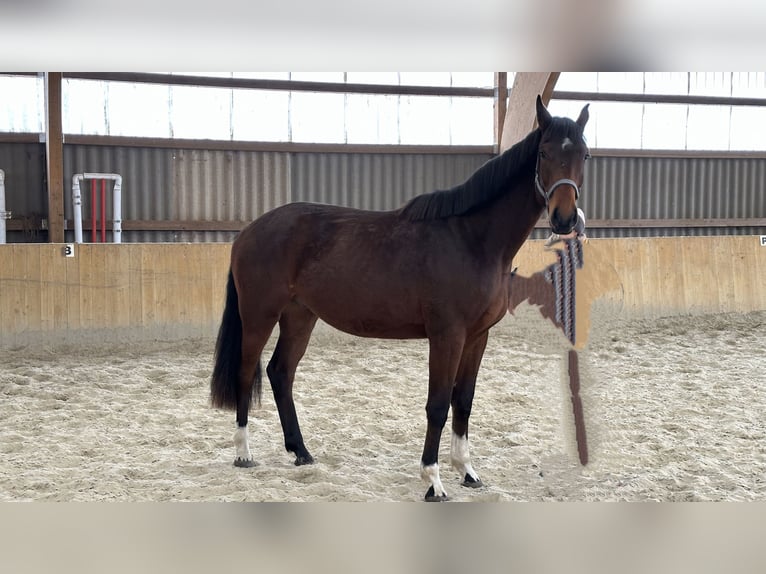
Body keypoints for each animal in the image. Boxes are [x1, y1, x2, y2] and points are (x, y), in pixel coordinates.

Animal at [207, 97, 592, 502]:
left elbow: (463, 401)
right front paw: (433, 481)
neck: (472, 239)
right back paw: (244, 454)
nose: (565, 219)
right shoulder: (447, 335)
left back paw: (301, 452)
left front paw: (467, 471)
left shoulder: (477, 336)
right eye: (545, 152)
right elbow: (438, 405)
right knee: (246, 372)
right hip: (258, 316)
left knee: (280, 373)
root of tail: (249, 231)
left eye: (584, 154)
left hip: (300, 317)